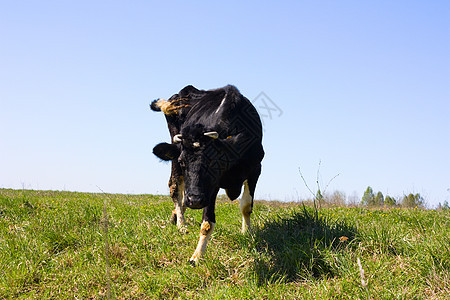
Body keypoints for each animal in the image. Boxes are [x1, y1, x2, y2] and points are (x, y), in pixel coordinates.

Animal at [151, 85, 264, 264]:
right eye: (183, 162)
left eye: (214, 161)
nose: (195, 200)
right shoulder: (211, 187)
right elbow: (207, 223)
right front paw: (197, 256)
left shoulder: (255, 168)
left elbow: (246, 206)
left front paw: (247, 233)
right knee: (175, 187)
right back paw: (181, 225)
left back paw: (175, 216)